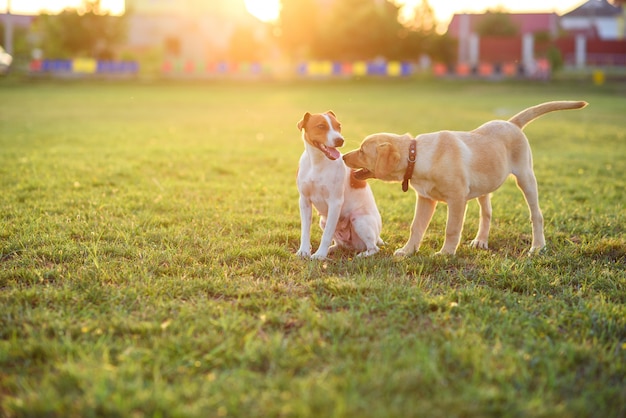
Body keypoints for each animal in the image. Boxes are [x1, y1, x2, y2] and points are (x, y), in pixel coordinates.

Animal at [296, 112, 382, 262]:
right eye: (321, 126)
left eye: (339, 126)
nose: (340, 140)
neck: (318, 163)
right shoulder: (304, 201)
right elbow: (305, 231)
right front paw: (304, 251)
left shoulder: (335, 203)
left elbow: (326, 235)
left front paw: (320, 255)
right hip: (323, 222)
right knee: (340, 244)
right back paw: (332, 249)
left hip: (359, 219)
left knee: (373, 248)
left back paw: (361, 255)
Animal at [342, 101, 584, 256]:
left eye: (362, 151)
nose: (343, 156)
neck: (417, 156)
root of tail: (511, 123)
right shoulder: (425, 199)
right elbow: (416, 227)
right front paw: (407, 250)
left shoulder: (457, 199)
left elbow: (451, 228)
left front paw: (446, 253)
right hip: (485, 185)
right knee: (487, 213)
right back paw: (481, 241)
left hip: (526, 177)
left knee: (536, 215)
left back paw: (537, 247)